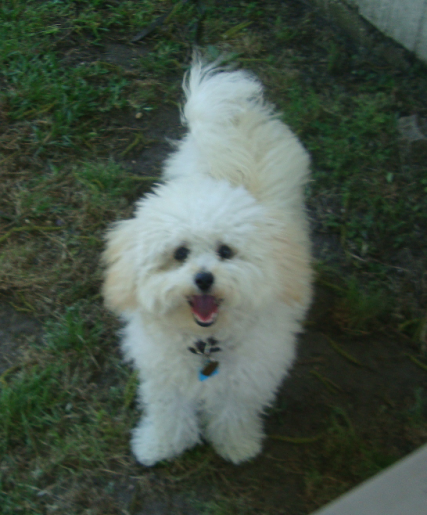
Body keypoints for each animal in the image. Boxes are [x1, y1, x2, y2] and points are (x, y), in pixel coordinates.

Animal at [102, 61, 312, 468]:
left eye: (226, 251)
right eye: (180, 253)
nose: (203, 279)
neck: (205, 346)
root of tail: (234, 118)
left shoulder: (247, 378)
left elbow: (235, 412)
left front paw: (237, 444)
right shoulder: (164, 376)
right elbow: (168, 412)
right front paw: (160, 445)